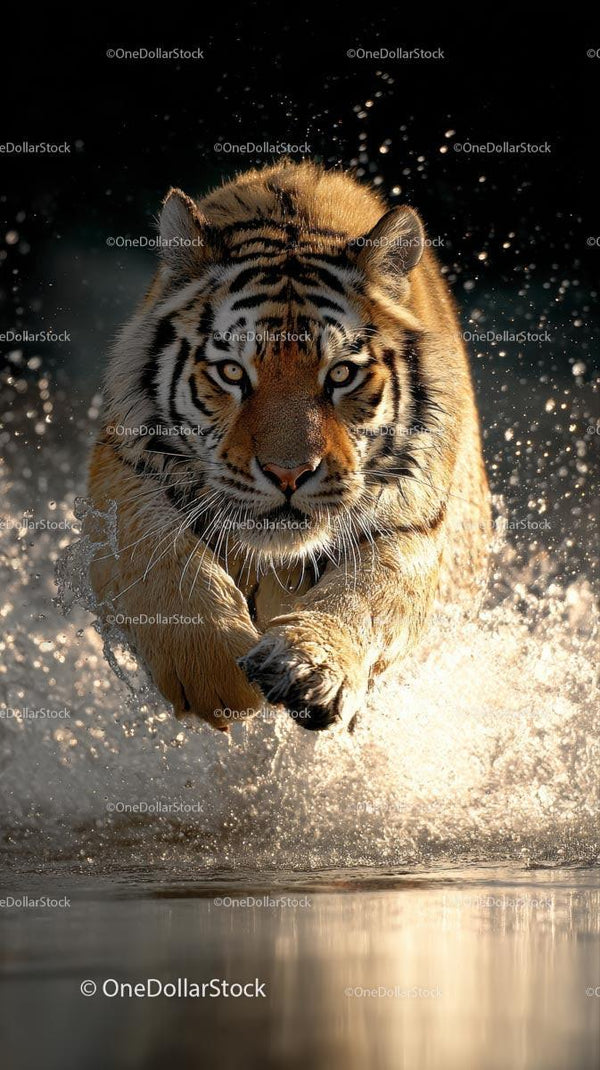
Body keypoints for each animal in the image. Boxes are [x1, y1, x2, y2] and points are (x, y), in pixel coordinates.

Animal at [87, 160, 491, 732]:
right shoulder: (124, 470)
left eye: (341, 374)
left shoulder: (414, 521)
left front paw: (307, 666)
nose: (288, 475)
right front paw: (217, 674)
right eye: (232, 372)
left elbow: (369, 591)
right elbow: (155, 550)